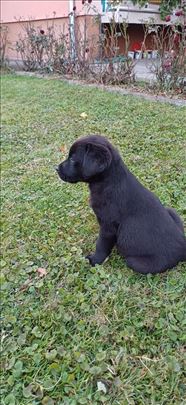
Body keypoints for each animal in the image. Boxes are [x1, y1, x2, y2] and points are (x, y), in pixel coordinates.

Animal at [56, 134, 186, 274]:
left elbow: (101, 245)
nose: (56, 168)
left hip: (136, 262)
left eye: (73, 159)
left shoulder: (108, 226)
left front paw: (94, 261)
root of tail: (183, 245)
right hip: (171, 211)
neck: (109, 182)